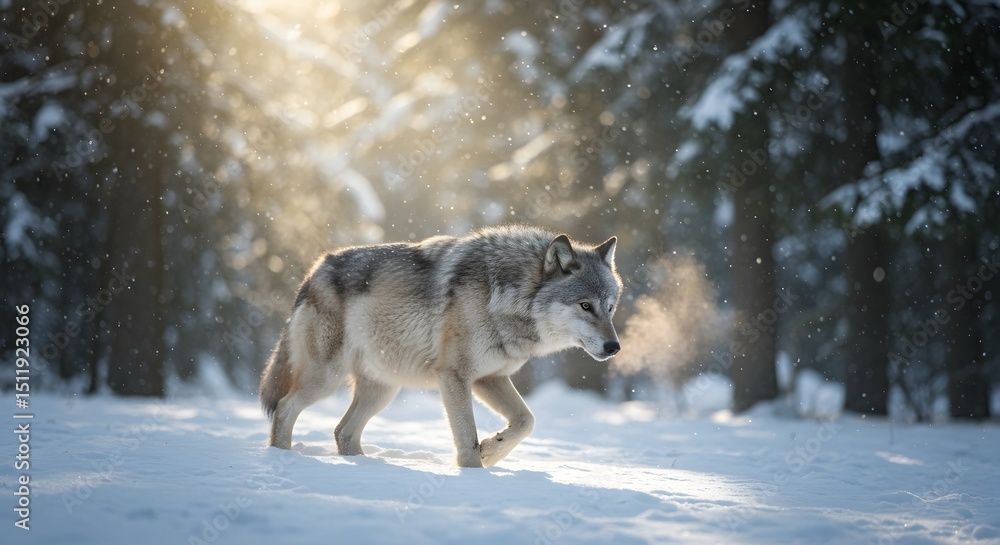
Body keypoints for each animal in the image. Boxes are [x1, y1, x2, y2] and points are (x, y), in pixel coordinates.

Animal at [258, 225, 621, 467]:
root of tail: (314, 270)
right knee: (285, 408)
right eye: (586, 306)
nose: (614, 347)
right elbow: (466, 438)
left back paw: (366, 468)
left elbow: (526, 420)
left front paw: (492, 450)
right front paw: (476, 473)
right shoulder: (454, 376)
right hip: (327, 379)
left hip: (383, 389)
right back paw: (282, 459)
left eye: (610, 307)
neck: (505, 295)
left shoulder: (489, 378)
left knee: (343, 431)